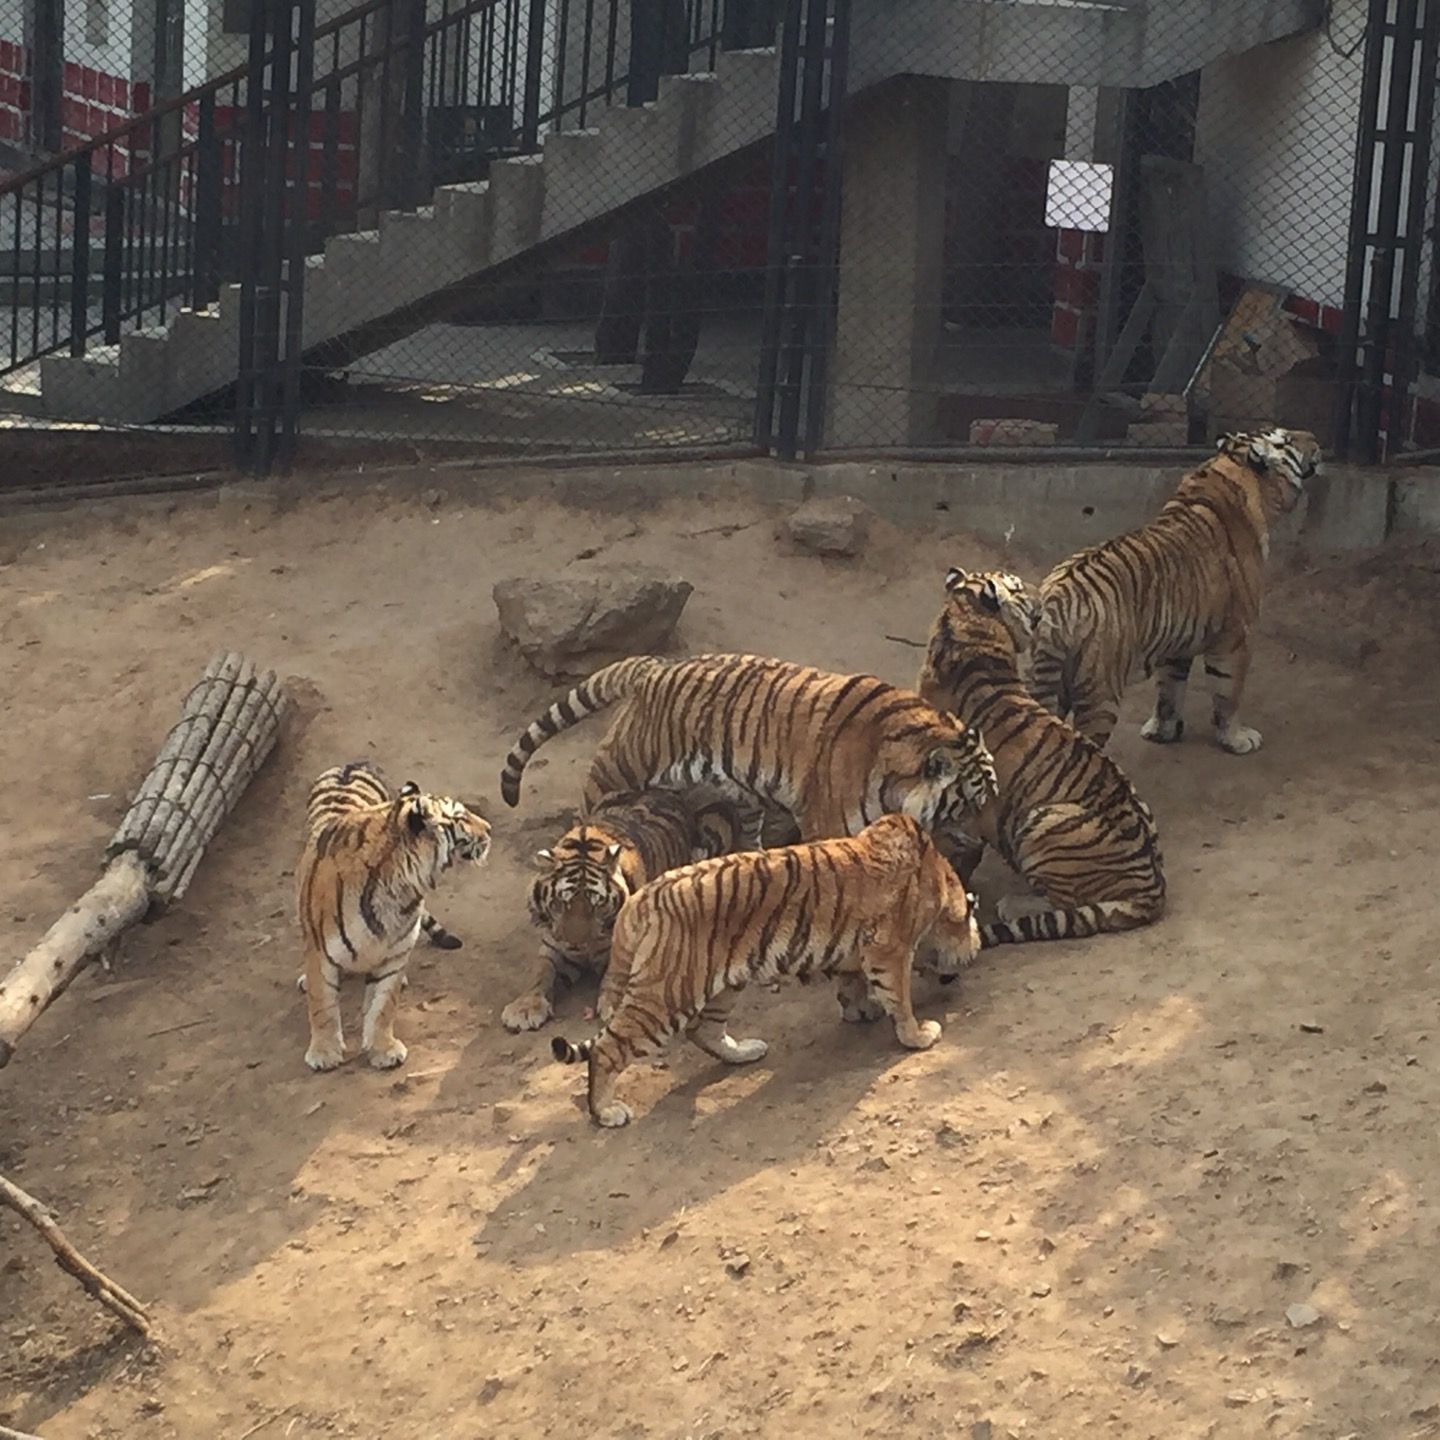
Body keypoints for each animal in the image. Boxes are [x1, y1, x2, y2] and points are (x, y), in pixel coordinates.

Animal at [295, 766, 492, 1071]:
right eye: (460, 818)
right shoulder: (319, 952)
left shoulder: (395, 953)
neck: (401, 886)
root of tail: (353, 763)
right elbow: (322, 1004)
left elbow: (383, 1005)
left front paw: (383, 1049)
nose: (489, 829)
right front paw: (324, 1053)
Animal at [504, 789, 754, 1036]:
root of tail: (669, 791)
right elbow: (541, 973)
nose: (577, 946)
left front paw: (614, 1005)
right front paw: (524, 1008)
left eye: (597, 905)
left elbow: (618, 971)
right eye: (560, 903)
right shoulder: (554, 946)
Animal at [547, 812, 979, 1123]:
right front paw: (917, 1034)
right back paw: (605, 1112)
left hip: (723, 984)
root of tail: (639, 900)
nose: (970, 958)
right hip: (665, 995)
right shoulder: (889, 949)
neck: (940, 880)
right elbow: (899, 996)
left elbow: (853, 982)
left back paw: (744, 1052)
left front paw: (862, 1009)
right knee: (608, 1047)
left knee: (703, 1030)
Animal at [915, 567, 1163, 950]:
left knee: (1062, 902)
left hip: (1045, 821)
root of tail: (1152, 889)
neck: (963, 626)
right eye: (1017, 586)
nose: (1042, 598)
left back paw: (1012, 904)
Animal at [1031, 423, 1319, 754]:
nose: (1315, 439)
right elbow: (1229, 693)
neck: (1230, 467)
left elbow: (1169, 690)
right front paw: (1237, 738)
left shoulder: (1178, 638)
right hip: (1100, 693)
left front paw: (1162, 730)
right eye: (1286, 439)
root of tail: (1057, 600)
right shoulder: (1236, 636)